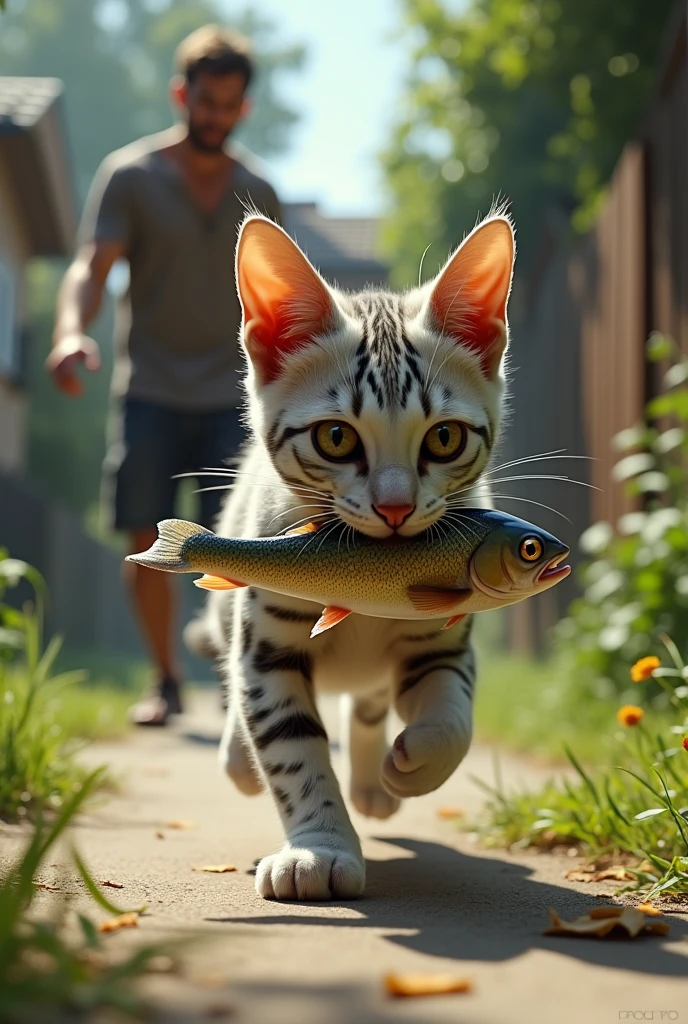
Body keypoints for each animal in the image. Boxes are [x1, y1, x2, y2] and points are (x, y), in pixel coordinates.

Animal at [188, 211, 516, 901]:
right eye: (335, 437)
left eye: (445, 438)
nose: (394, 507)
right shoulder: (268, 651)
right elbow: (293, 751)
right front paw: (318, 851)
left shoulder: (442, 637)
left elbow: (453, 717)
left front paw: (413, 762)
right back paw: (238, 758)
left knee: (366, 702)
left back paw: (373, 783)